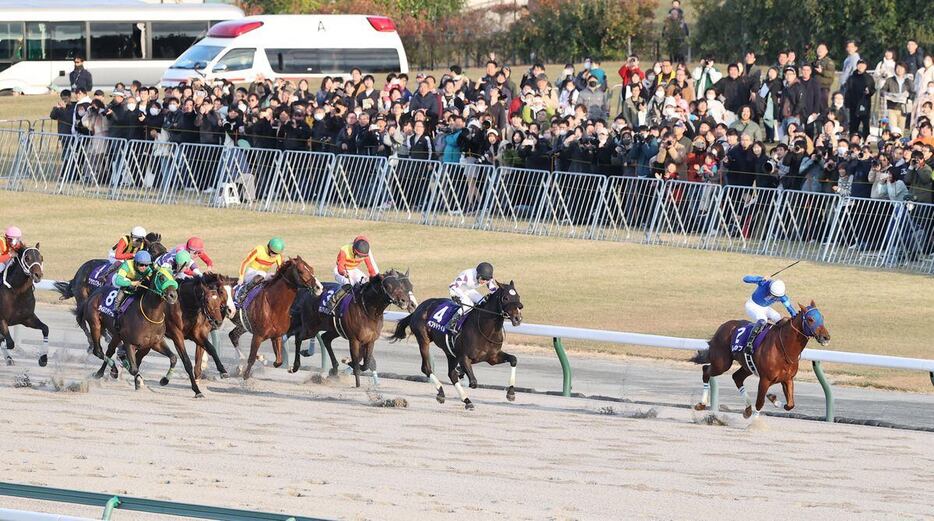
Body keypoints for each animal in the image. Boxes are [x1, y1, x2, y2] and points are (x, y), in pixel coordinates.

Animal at [390, 280, 528, 410]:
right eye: (505, 298)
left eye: (518, 296)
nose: (517, 318)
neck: (485, 329)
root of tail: (419, 308)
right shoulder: (464, 357)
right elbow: (473, 382)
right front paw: (462, 372)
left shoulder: (492, 357)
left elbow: (513, 360)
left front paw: (511, 393)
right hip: (423, 340)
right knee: (427, 368)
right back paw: (442, 392)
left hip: (449, 351)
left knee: (451, 374)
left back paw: (466, 400)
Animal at [692, 298, 828, 416]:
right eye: (810, 319)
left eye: (822, 317)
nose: (826, 337)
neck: (783, 347)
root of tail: (723, 326)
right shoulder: (765, 379)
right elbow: (760, 403)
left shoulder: (788, 379)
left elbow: (790, 405)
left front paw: (774, 399)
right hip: (722, 363)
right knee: (706, 370)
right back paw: (701, 404)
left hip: (747, 366)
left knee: (736, 377)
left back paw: (747, 409)